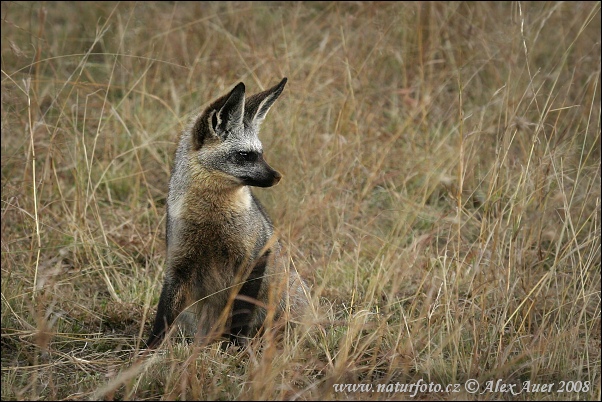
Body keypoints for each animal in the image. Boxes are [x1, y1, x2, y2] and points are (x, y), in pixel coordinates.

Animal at [144, 77, 304, 348]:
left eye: (261, 154)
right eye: (244, 155)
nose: (277, 176)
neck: (211, 222)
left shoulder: (255, 257)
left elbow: (240, 316)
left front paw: (236, 349)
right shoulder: (177, 264)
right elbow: (162, 317)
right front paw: (146, 352)